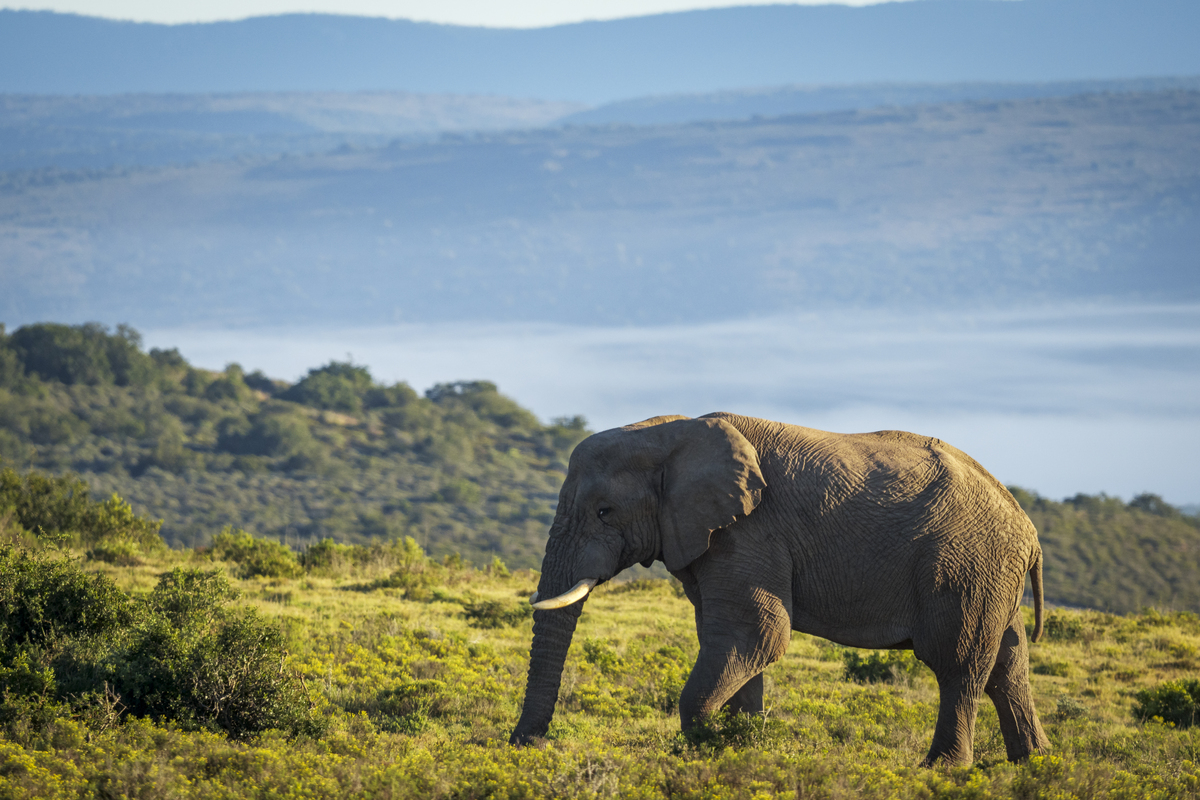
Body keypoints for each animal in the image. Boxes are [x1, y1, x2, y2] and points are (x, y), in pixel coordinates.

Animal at [510, 412, 1050, 767]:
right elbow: (734, 644)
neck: (670, 430)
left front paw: (704, 750)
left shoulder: (750, 531)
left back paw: (941, 770)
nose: (528, 745)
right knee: (1008, 667)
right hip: (991, 575)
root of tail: (1027, 527)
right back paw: (1035, 764)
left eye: (605, 512)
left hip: (966, 567)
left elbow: (755, 635)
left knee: (958, 664)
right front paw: (741, 749)